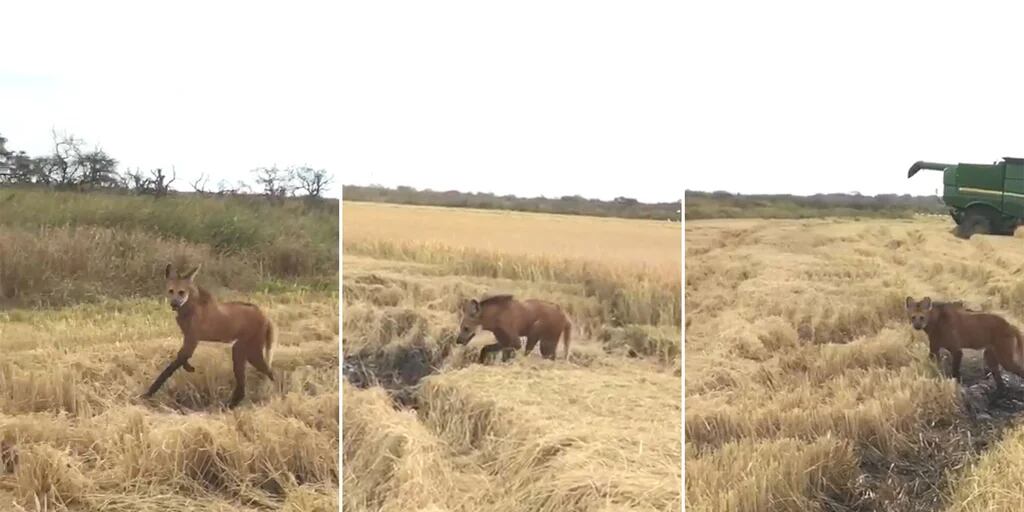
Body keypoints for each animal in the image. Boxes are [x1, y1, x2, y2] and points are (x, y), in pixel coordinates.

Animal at [142, 264, 276, 407]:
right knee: (253, 381)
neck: (189, 308)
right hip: (245, 352)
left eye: (181, 292)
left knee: (267, 374)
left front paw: (149, 393)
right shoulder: (189, 339)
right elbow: (181, 358)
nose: (174, 304)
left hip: (243, 350)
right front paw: (189, 367)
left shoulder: (192, 339)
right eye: (171, 291)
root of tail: (266, 317)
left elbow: (170, 367)